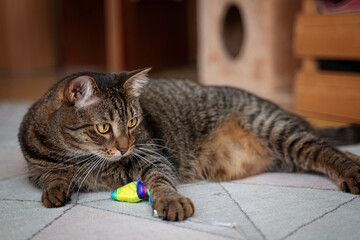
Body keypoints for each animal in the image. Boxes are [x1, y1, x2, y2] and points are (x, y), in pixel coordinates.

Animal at [18, 68, 360, 220]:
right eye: (104, 128)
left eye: (132, 123)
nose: (125, 147)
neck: (78, 156)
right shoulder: (36, 169)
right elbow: (51, 177)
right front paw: (55, 190)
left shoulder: (153, 155)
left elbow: (161, 181)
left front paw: (171, 201)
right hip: (286, 155)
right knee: (330, 148)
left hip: (276, 131)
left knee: (325, 150)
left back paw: (351, 172)